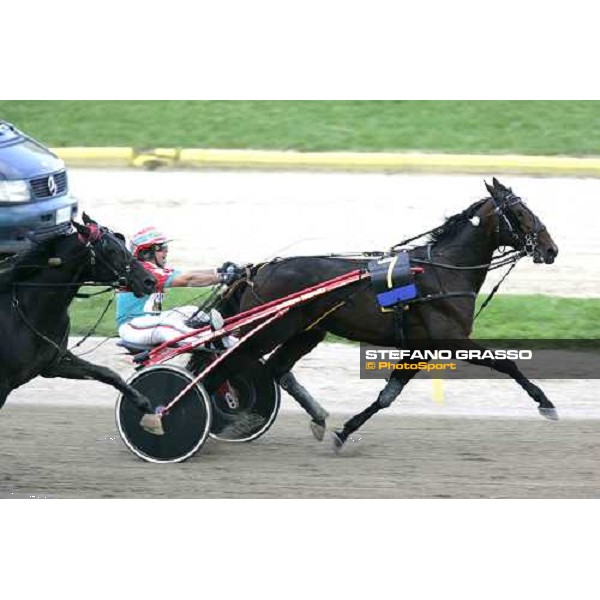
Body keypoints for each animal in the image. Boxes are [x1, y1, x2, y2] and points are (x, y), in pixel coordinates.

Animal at [0, 213, 162, 434]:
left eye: (122, 243)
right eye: (111, 250)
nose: (149, 281)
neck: (27, 312)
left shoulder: (54, 364)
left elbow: (108, 373)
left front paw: (147, 408)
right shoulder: (3, 384)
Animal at [218, 178, 560, 450]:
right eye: (520, 213)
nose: (551, 249)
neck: (445, 270)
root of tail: (259, 270)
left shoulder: (421, 348)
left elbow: (388, 395)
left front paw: (344, 432)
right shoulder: (451, 339)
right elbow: (505, 363)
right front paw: (546, 403)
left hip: (307, 332)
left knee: (275, 367)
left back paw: (315, 418)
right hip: (267, 330)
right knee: (230, 364)